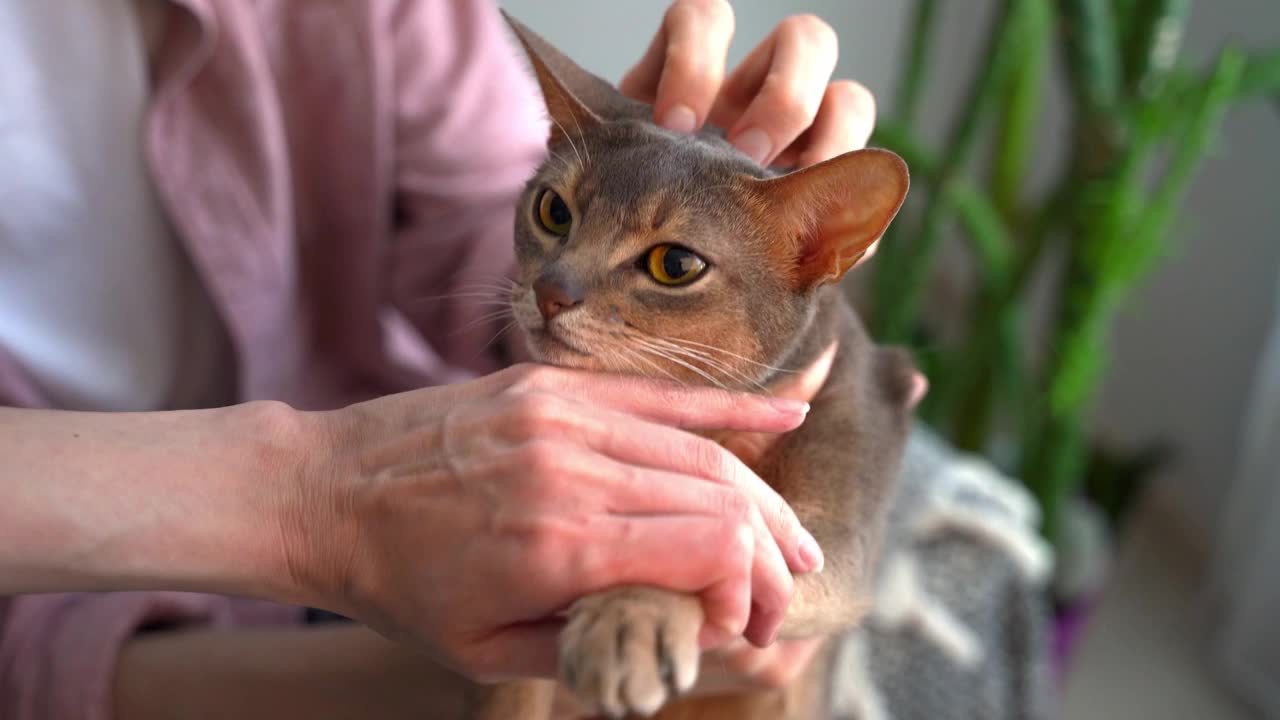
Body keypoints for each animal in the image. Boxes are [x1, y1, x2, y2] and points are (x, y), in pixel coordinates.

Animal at [471, 12, 921, 717]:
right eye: (553, 211)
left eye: (675, 265)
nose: (550, 292)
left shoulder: (835, 534)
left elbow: (742, 539)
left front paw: (632, 616)